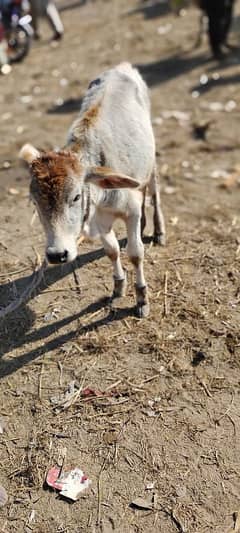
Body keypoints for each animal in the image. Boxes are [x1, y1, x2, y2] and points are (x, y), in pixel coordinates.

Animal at [20, 61, 165, 316]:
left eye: (77, 197)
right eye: (35, 202)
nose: (57, 255)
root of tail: (123, 66)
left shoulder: (130, 211)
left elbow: (135, 253)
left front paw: (141, 298)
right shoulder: (100, 219)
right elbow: (112, 250)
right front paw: (118, 287)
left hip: (151, 161)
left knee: (154, 192)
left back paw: (158, 230)